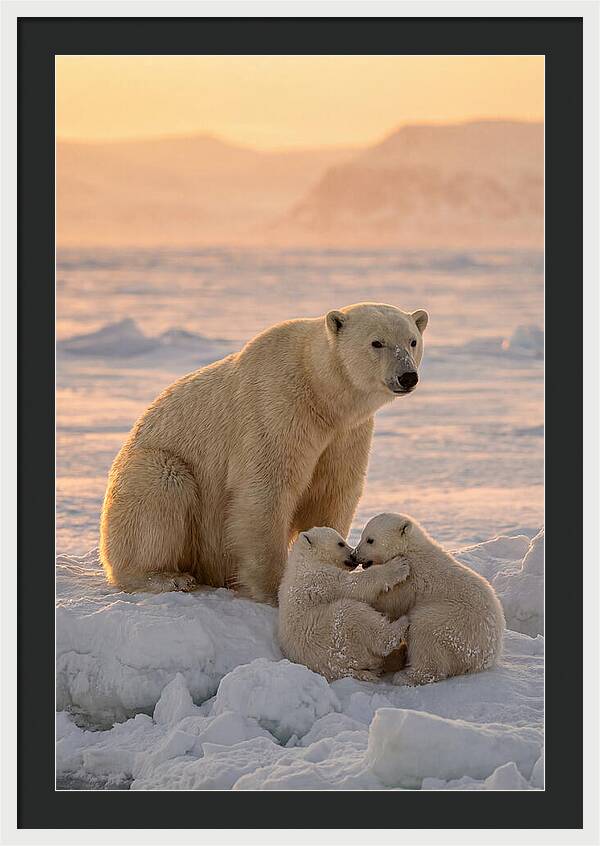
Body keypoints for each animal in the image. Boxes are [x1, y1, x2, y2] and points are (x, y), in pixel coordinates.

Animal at [99, 302, 428, 602]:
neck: (320, 393)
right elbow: (266, 490)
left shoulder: (346, 434)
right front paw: (274, 588)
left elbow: (332, 490)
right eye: (376, 342)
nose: (407, 376)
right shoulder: (277, 408)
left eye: (412, 340)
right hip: (151, 468)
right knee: (161, 487)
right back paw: (167, 577)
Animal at [278, 527, 412, 682]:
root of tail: (341, 670)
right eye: (340, 543)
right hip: (333, 637)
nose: (353, 555)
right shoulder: (320, 578)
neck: (305, 559)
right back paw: (402, 623)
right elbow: (353, 585)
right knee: (354, 615)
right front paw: (399, 565)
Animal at [353, 513, 505, 685]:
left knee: (424, 630)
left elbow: (390, 601)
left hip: (454, 625)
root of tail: (485, 658)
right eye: (362, 535)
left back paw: (405, 676)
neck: (409, 549)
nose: (354, 555)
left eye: (370, 540)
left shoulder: (410, 581)